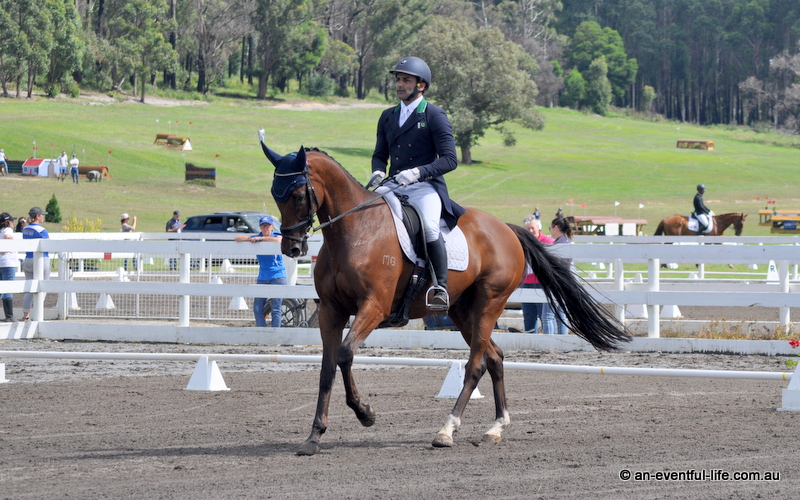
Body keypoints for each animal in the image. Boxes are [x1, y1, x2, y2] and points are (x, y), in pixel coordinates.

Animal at [267, 144, 630, 455]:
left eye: (297, 194)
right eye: (275, 194)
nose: (293, 248)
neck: (356, 230)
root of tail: (507, 229)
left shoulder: (374, 307)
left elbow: (344, 354)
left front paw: (365, 413)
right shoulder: (331, 311)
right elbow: (327, 367)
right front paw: (314, 437)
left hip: (488, 303)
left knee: (476, 364)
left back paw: (446, 430)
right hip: (461, 311)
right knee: (494, 357)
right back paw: (495, 428)